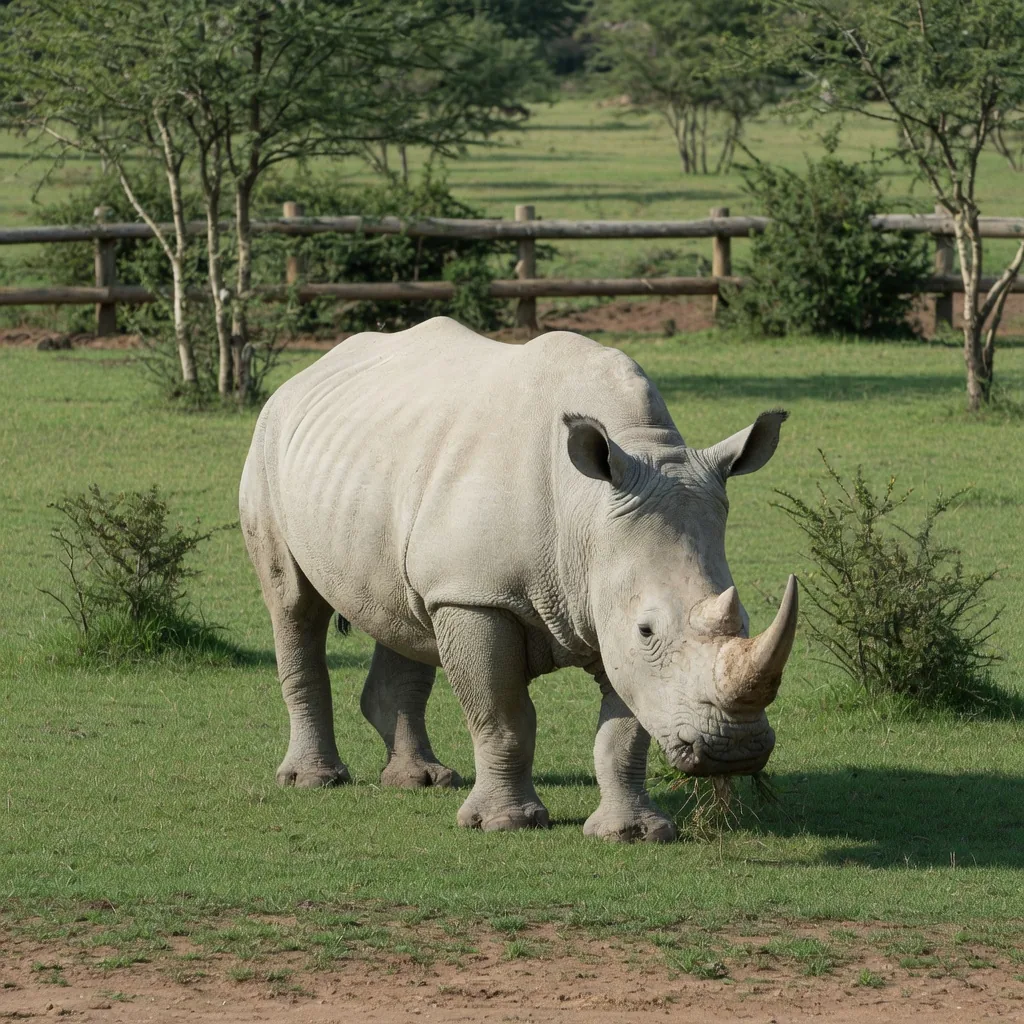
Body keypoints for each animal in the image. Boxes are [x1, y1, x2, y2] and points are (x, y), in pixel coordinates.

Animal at [239, 317, 797, 842]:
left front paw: (634, 833)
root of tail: (304, 375)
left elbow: (624, 729)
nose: (735, 751)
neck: (588, 512)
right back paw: (312, 780)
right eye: (647, 630)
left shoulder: (601, 601)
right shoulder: (476, 596)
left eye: (745, 619)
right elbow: (502, 715)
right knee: (294, 604)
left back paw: (422, 780)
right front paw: (504, 824)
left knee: (402, 610)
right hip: (268, 443)